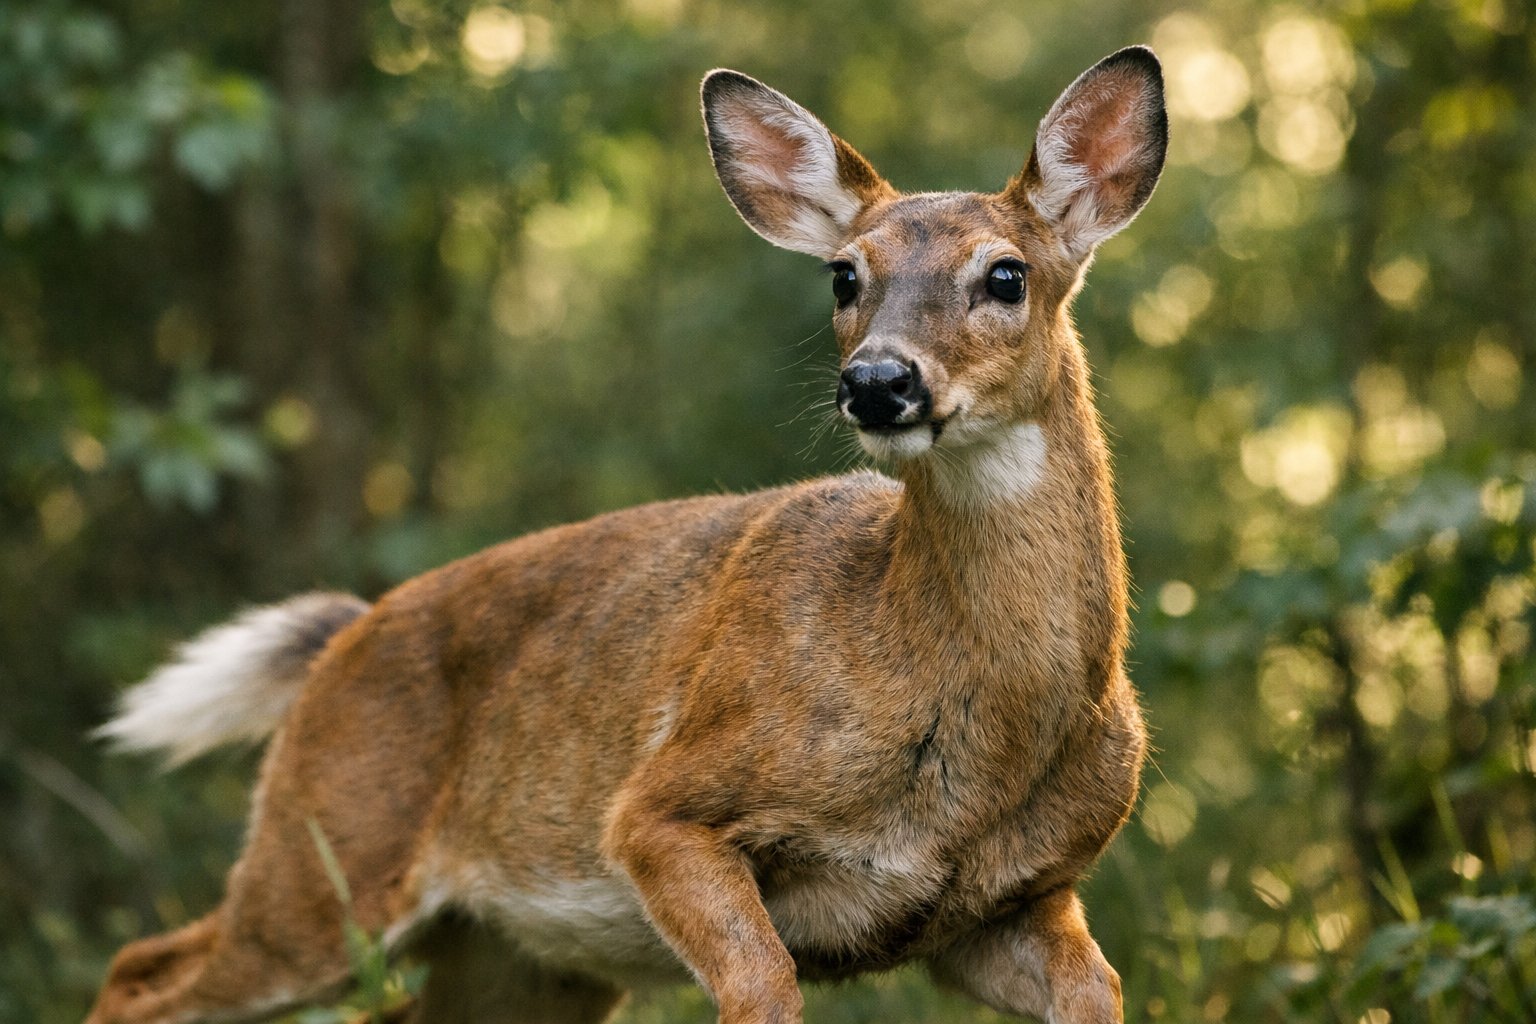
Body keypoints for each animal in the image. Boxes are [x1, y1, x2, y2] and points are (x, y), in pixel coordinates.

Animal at [87, 46, 1167, 1024]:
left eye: (1006, 275)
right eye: (842, 276)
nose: (877, 381)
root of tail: (340, 642)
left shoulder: (1014, 902)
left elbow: (1104, 989)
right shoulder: (659, 806)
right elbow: (763, 986)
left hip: (517, 961)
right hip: (326, 853)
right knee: (138, 971)